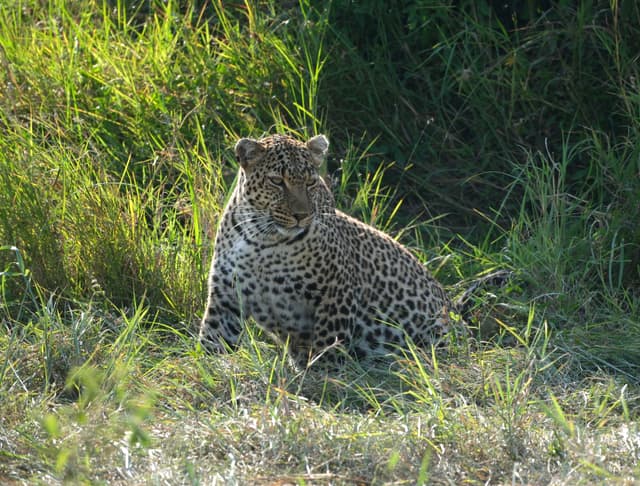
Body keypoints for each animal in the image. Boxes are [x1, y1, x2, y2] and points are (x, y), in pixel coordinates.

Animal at [199, 133, 496, 367]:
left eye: (310, 183)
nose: (301, 216)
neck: (262, 240)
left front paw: (324, 378)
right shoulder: (225, 297)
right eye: (277, 181)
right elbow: (212, 341)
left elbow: (328, 341)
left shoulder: (335, 290)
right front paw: (205, 372)